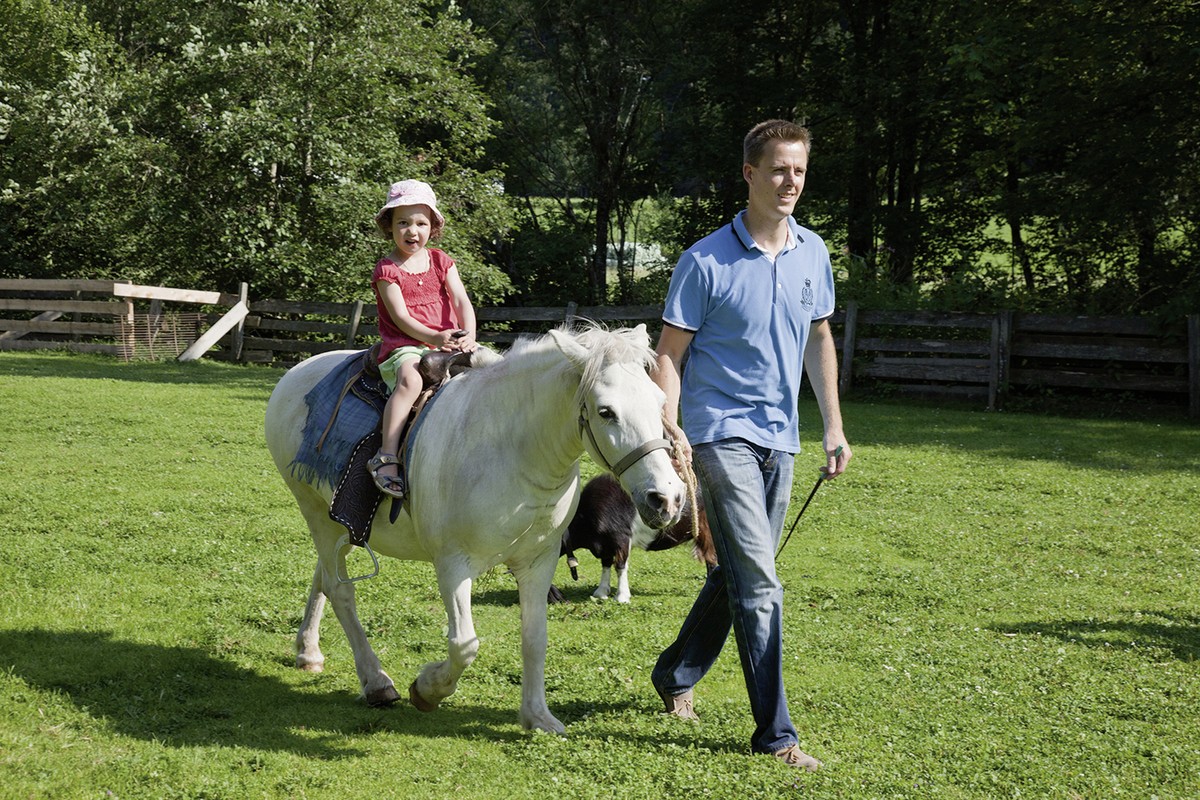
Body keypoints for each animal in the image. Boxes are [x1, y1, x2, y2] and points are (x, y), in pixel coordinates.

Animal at [264, 323, 686, 734]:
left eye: (659, 403)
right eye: (605, 411)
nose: (666, 498)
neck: (513, 451)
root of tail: (299, 371)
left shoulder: (539, 562)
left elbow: (535, 638)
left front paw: (537, 716)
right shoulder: (453, 565)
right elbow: (464, 644)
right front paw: (427, 690)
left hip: (345, 521)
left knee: (324, 577)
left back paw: (308, 651)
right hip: (317, 513)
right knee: (340, 590)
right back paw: (375, 681)